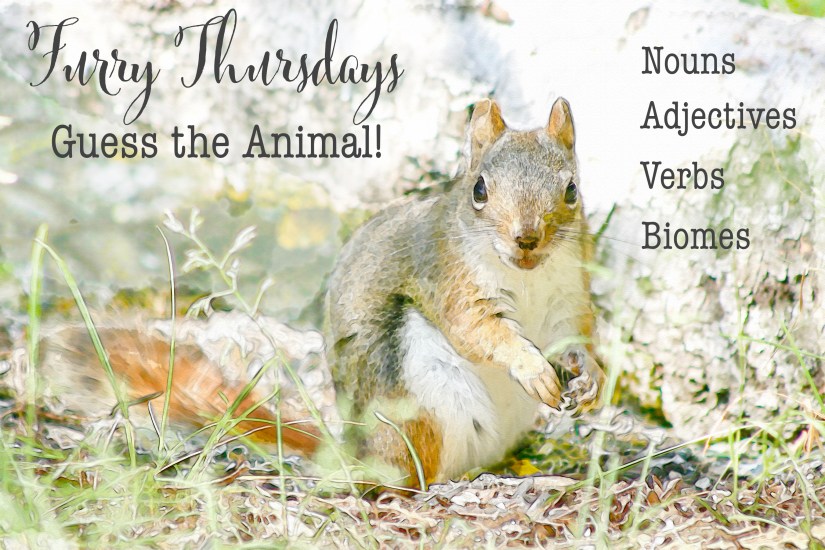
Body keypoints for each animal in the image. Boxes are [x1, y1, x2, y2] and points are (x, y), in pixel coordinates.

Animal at [31, 97, 602, 489]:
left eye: (572, 190)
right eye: (479, 189)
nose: (527, 239)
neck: (528, 276)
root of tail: (356, 451)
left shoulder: (568, 296)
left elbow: (575, 337)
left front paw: (589, 376)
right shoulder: (447, 278)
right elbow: (478, 330)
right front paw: (530, 366)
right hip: (419, 392)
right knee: (410, 472)